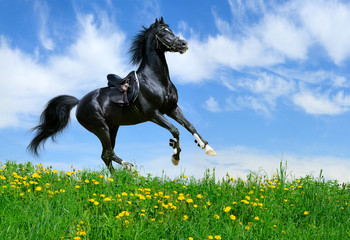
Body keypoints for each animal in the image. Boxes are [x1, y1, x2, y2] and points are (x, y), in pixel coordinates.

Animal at [28, 17, 216, 173]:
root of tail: (80, 101)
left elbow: (189, 126)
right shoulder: (153, 114)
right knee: (109, 153)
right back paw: (131, 169)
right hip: (100, 127)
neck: (156, 80)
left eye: (171, 30)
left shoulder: (172, 109)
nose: (184, 44)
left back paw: (116, 180)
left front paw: (206, 147)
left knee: (105, 155)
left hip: (112, 127)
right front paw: (175, 157)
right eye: (162, 32)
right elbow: (175, 130)